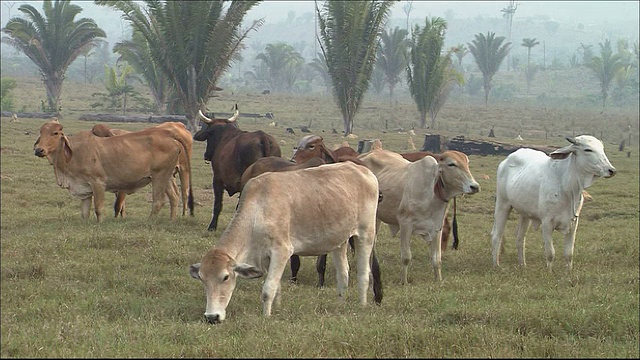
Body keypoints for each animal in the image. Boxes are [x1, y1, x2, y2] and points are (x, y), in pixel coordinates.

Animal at [33, 118, 186, 221]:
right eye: (41, 132)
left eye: (55, 133)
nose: (38, 150)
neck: (73, 153)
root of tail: (169, 136)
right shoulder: (84, 189)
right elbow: (84, 212)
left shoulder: (98, 183)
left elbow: (99, 209)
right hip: (167, 177)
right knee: (174, 197)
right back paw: (171, 220)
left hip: (159, 176)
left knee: (159, 201)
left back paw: (149, 221)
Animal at [190, 161, 380, 324]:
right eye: (202, 279)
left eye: (225, 277)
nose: (212, 317)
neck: (257, 210)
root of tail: (364, 171)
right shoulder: (266, 256)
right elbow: (277, 285)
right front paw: (278, 308)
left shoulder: (281, 250)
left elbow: (268, 289)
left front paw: (266, 316)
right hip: (339, 240)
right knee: (343, 273)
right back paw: (340, 304)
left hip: (366, 234)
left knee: (364, 273)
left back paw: (362, 305)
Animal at [490, 136, 616, 270]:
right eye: (588, 150)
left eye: (602, 148)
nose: (611, 170)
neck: (568, 187)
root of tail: (506, 160)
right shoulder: (547, 223)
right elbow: (550, 253)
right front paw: (549, 271)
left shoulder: (573, 223)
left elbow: (569, 253)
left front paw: (568, 271)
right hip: (502, 204)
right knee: (496, 235)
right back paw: (496, 264)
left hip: (525, 214)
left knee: (520, 238)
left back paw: (523, 265)